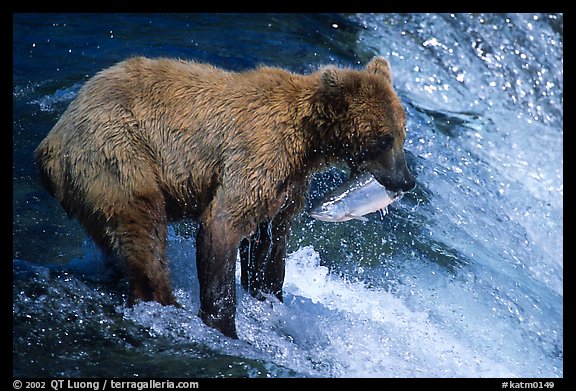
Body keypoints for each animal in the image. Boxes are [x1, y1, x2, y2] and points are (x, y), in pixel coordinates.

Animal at [33, 56, 414, 340]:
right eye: (384, 138)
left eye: (403, 133)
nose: (407, 181)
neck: (309, 141)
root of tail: (49, 144)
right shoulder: (258, 154)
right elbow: (222, 226)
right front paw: (224, 324)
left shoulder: (288, 184)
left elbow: (271, 245)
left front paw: (269, 296)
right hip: (117, 152)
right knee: (143, 231)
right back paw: (165, 304)